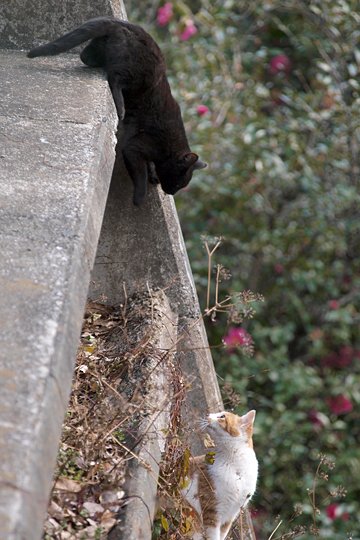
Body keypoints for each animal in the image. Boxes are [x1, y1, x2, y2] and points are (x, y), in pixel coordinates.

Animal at [27, 15, 208, 205]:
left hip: (100, 53)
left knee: (87, 57)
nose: (172, 192)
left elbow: (149, 166)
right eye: (180, 182)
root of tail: (119, 22)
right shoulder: (135, 147)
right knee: (114, 78)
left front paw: (153, 174)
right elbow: (140, 174)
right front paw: (139, 198)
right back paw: (120, 108)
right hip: (139, 75)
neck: (171, 147)